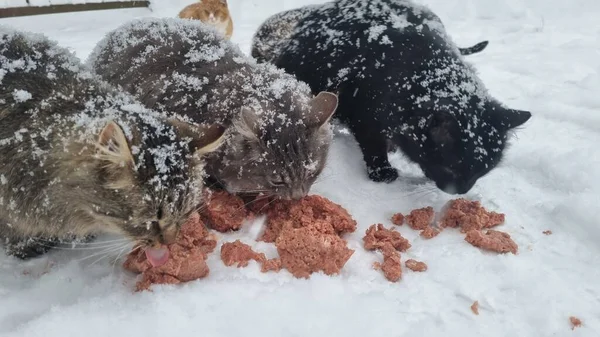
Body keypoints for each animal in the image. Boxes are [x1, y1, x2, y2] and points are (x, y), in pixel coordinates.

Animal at [251, 0, 532, 194]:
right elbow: (373, 146)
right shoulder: (365, 116)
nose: (461, 192)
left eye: (482, 172)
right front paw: (382, 173)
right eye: (452, 167)